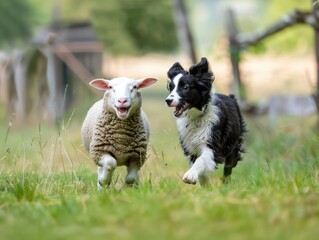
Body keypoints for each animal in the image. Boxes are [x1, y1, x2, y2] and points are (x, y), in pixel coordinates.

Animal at [166, 57, 246, 186]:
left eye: (185, 87)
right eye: (171, 87)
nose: (168, 100)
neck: (196, 117)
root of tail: (231, 97)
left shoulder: (211, 144)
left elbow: (201, 160)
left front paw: (190, 176)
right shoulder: (191, 147)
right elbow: (199, 167)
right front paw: (206, 185)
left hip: (233, 145)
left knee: (228, 167)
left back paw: (226, 184)